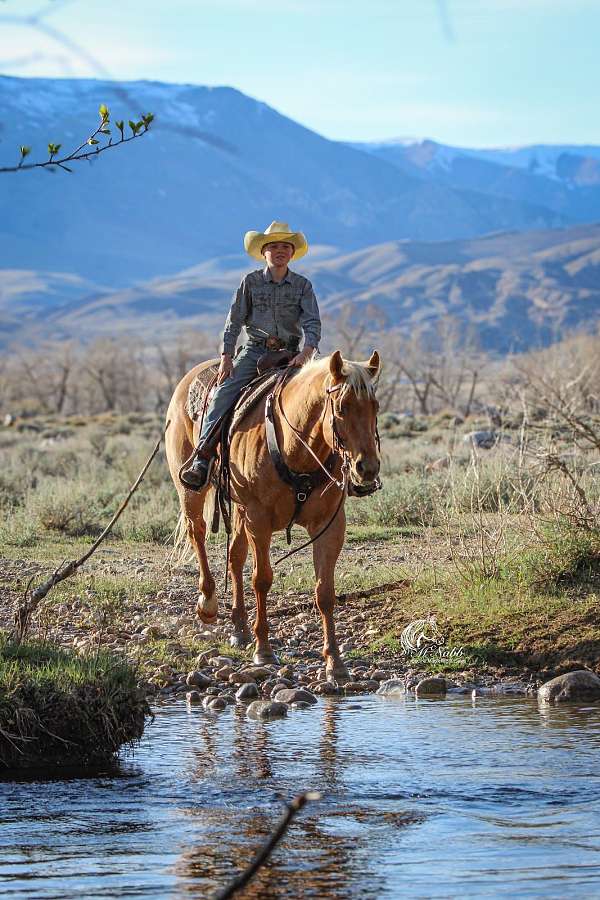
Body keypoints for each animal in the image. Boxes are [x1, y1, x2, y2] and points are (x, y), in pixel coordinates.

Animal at [165, 349, 381, 683]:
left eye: (375, 406)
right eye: (342, 407)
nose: (367, 469)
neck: (297, 450)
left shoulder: (330, 524)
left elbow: (325, 591)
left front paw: (335, 663)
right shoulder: (259, 519)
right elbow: (262, 579)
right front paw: (264, 650)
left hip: (239, 511)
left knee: (234, 555)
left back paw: (240, 628)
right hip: (191, 490)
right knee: (197, 532)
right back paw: (208, 604)